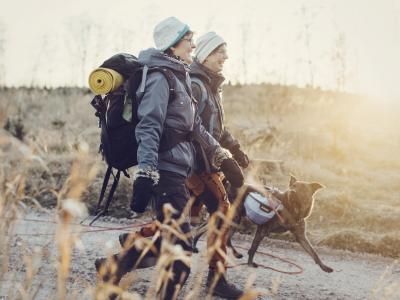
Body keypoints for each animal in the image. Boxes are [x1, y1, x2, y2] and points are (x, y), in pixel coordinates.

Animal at [194, 175, 334, 274]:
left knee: (221, 236)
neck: (292, 209)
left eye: (302, 188)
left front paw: (324, 267)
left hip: (234, 220)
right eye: (293, 186)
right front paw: (250, 263)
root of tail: (226, 184)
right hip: (230, 218)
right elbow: (253, 248)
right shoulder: (263, 229)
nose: (292, 192)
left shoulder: (301, 237)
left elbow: (314, 252)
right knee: (202, 229)